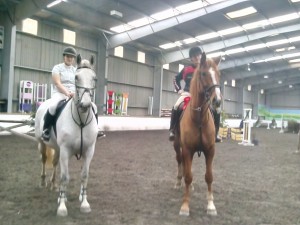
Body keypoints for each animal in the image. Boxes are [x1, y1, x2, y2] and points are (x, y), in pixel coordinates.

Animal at [34, 54, 97, 216]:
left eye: (94, 78)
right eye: (76, 77)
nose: (85, 105)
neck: (81, 121)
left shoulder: (89, 151)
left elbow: (84, 175)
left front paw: (84, 203)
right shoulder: (65, 150)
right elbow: (64, 177)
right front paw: (62, 207)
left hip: (57, 148)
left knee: (56, 163)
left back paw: (53, 185)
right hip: (42, 143)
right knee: (44, 159)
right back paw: (43, 182)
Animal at [173, 51, 220, 215]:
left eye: (218, 74)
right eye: (204, 73)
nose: (217, 101)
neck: (199, 118)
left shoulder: (210, 150)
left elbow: (209, 176)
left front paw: (211, 205)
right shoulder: (187, 149)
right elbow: (188, 176)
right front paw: (185, 206)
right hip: (177, 145)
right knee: (180, 161)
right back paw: (178, 182)